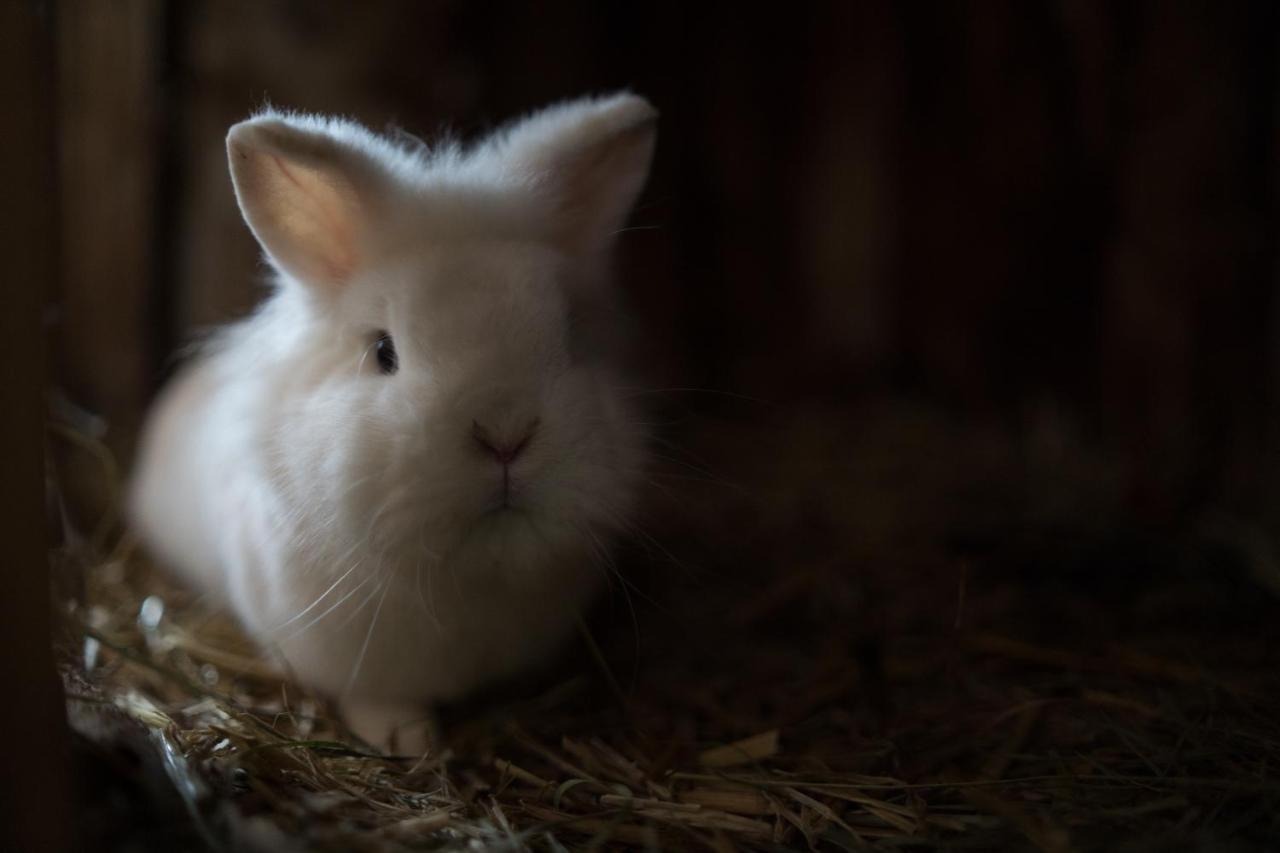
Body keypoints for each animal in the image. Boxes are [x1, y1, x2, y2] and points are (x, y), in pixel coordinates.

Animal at [127, 92, 660, 747]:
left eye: (571, 336)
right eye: (384, 352)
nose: (505, 435)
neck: (471, 579)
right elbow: (380, 703)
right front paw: (409, 744)